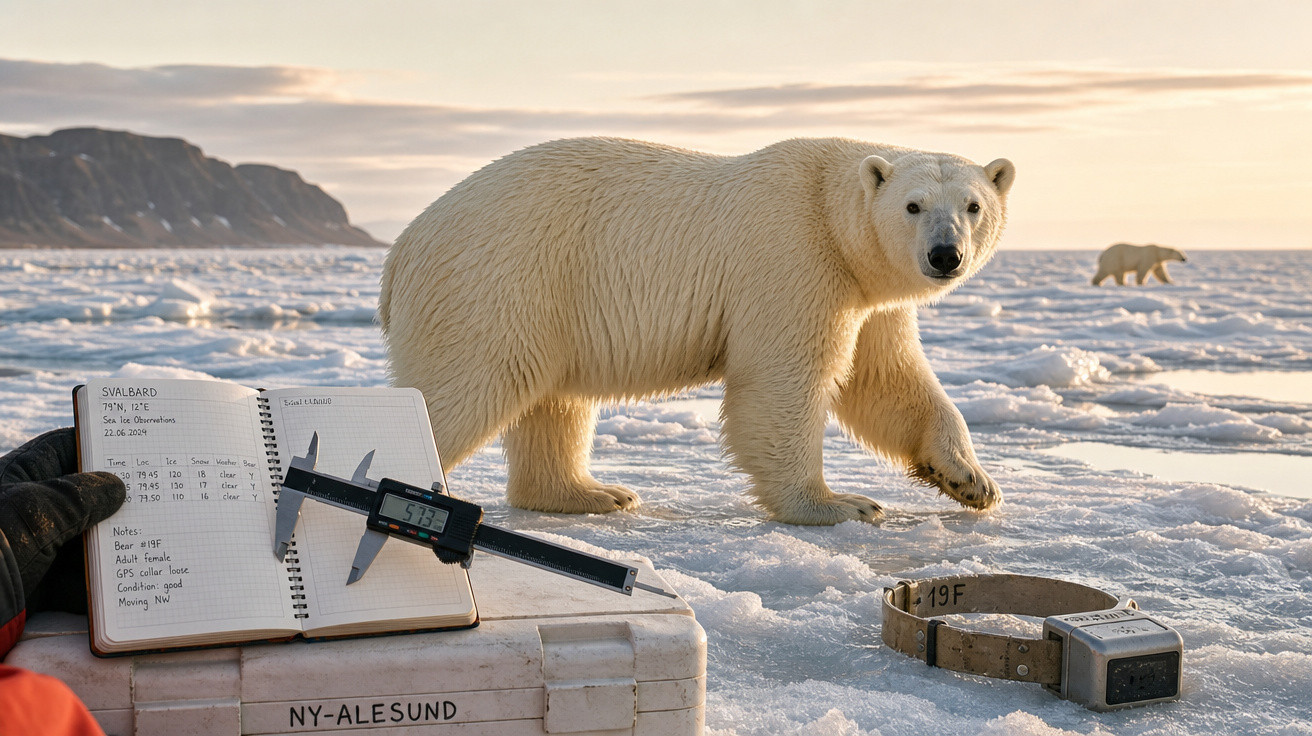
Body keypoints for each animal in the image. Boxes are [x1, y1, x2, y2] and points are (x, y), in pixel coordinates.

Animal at [379, 137, 1015, 525]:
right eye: (913, 205)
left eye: (973, 205)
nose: (945, 254)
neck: (831, 214)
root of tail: (404, 246)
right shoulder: (795, 259)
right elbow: (784, 381)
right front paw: (841, 504)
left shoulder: (866, 293)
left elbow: (886, 379)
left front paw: (970, 480)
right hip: (497, 281)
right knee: (466, 386)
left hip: (547, 300)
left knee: (554, 403)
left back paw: (595, 493)